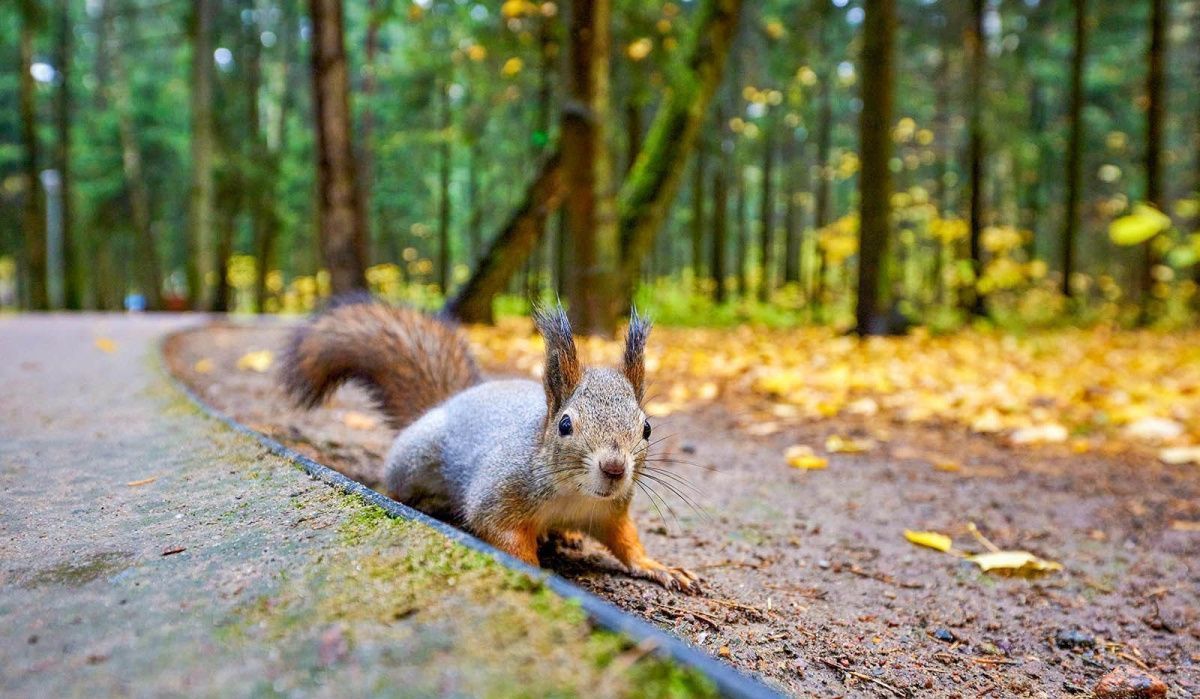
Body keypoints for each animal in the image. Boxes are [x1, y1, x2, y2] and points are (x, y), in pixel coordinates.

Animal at [277, 299, 700, 595]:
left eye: (646, 428)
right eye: (565, 425)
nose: (614, 468)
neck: (574, 495)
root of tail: (448, 402)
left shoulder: (610, 512)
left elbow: (626, 542)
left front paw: (658, 567)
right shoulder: (498, 495)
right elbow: (501, 532)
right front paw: (536, 568)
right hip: (413, 460)